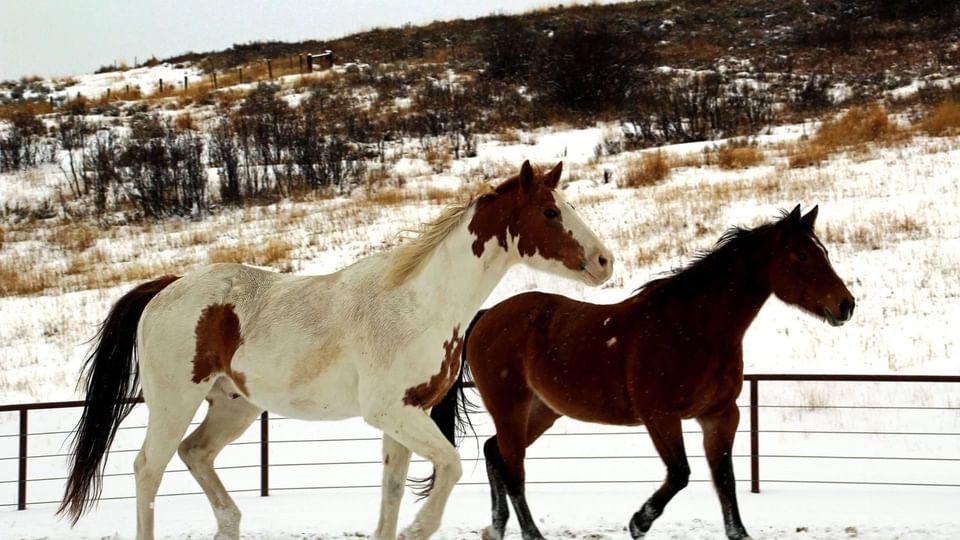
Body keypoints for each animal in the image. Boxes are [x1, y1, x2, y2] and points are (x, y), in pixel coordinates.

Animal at [58, 160, 615, 540]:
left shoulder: (405, 418)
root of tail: (166, 287)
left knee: (195, 454)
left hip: (233, 407)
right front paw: (420, 527)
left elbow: (391, 496)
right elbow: (452, 467)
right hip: (174, 403)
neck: (421, 302)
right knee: (148, 468)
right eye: (550, 211)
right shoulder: (389, 412)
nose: (605, 261)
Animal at [432, 205, 855, 540]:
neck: (693, 329)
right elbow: (681, 473)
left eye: (823, 252)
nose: (846, 305)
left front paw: (739, 533)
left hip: (543, 411)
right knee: (513, 469)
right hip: (511, 407)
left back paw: (496, 528)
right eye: (802, 255)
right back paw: (531, 534)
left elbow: (725, 481)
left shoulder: (720, 416)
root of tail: (486, 317)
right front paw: (639, 522)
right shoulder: (660, 416)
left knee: (494, 453)